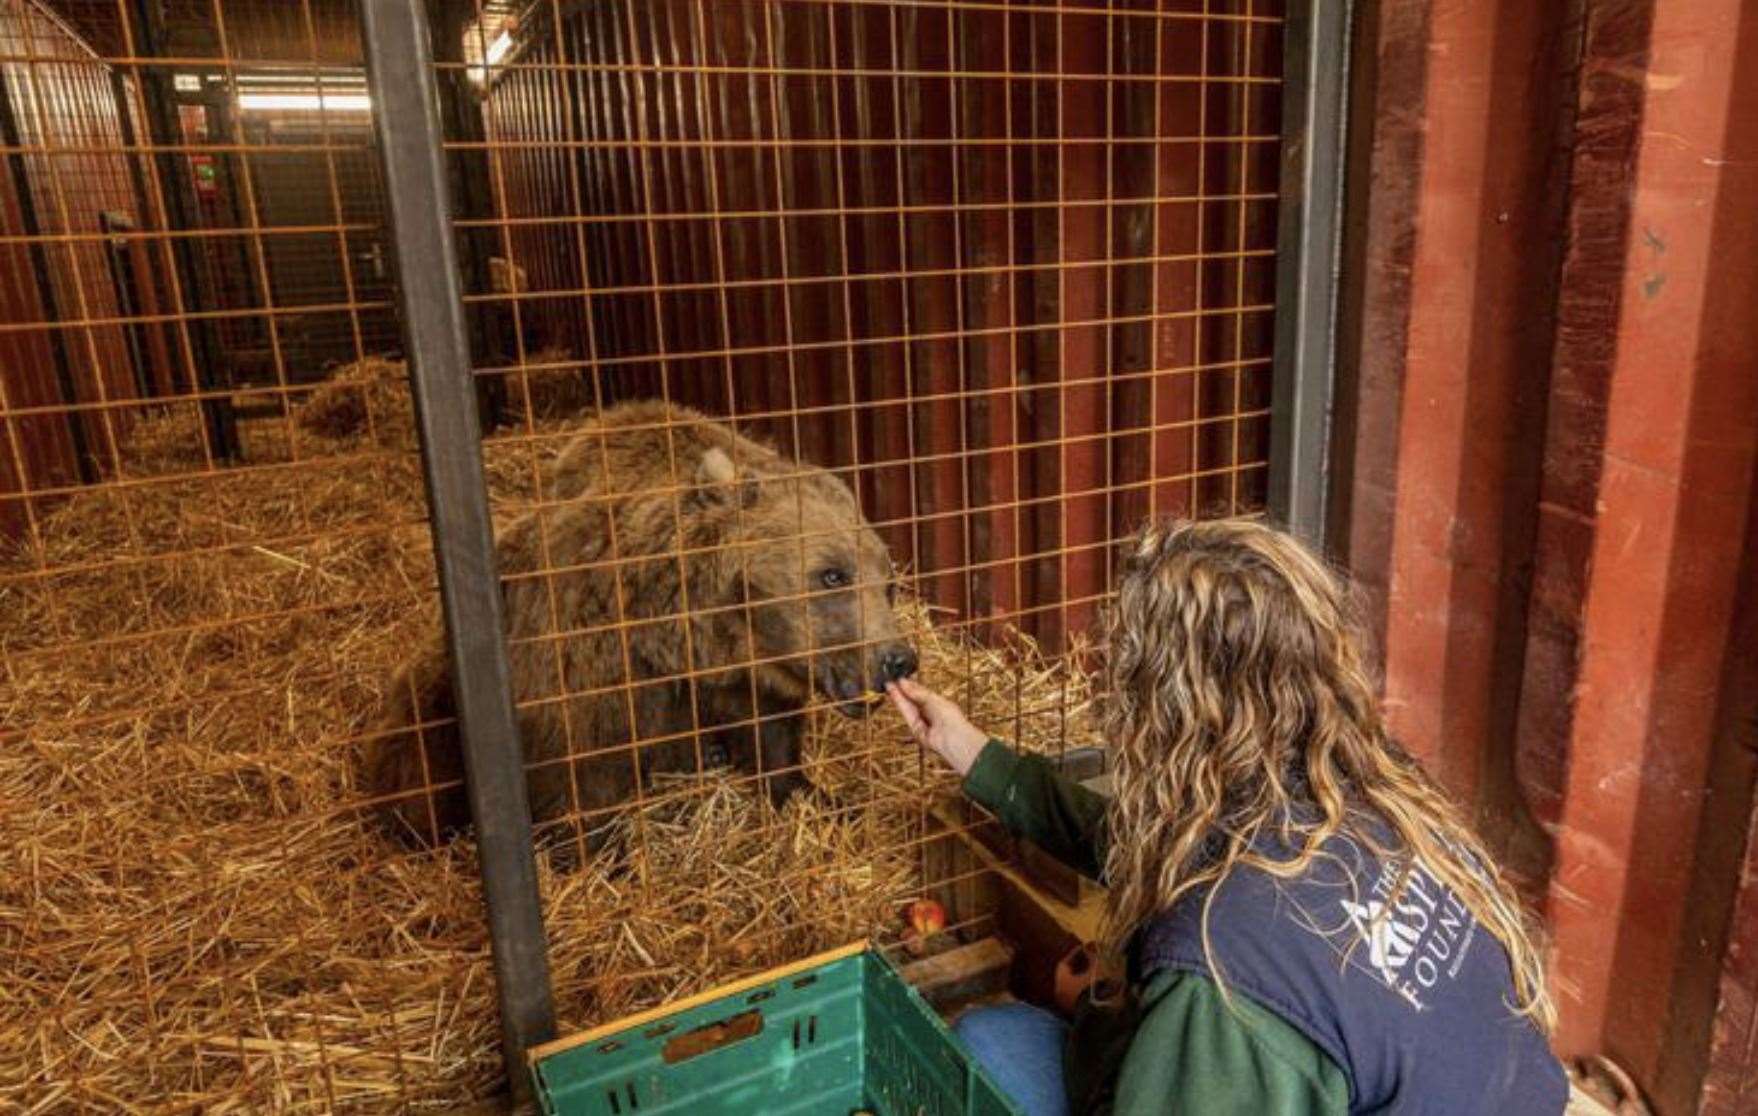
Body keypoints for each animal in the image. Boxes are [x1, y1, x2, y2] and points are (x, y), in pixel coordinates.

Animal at [360, 402, 921, 847]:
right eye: (832, 574)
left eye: (889, 582)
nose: (897, 658)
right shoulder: (590, 662)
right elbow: (579, 772)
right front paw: (604, 854)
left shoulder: (741, 676)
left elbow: (772, 734)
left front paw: (815, 795)